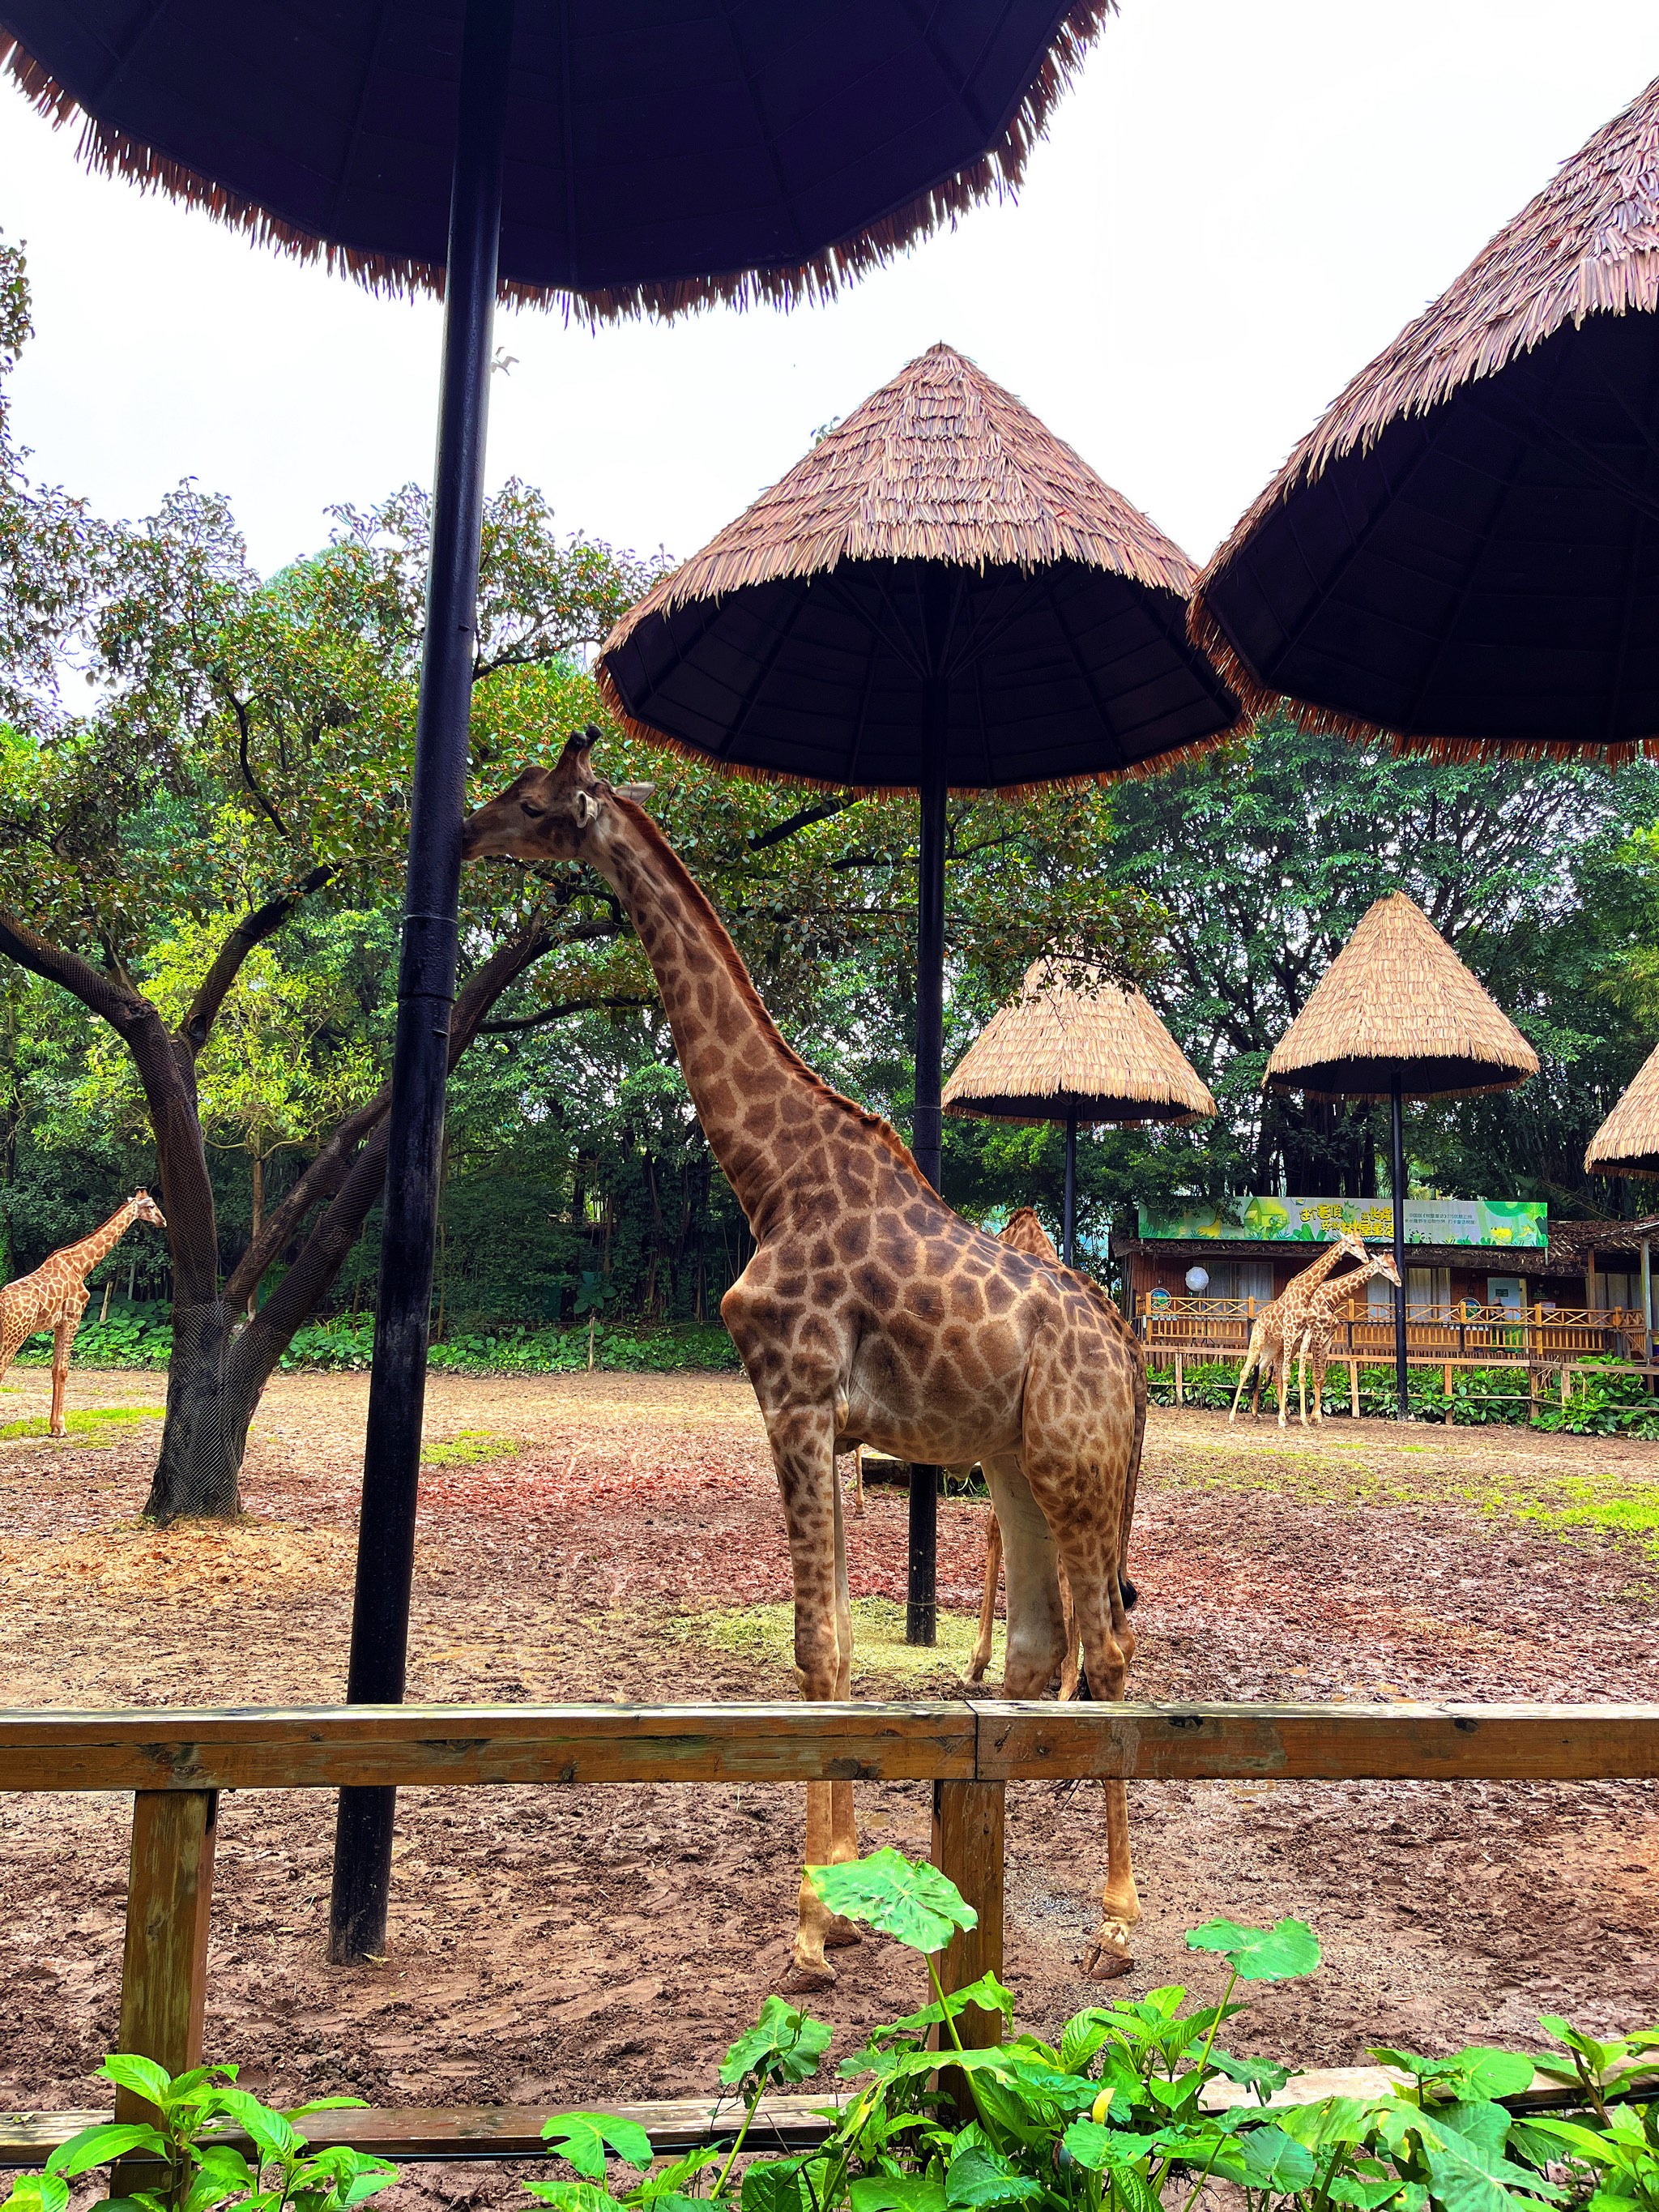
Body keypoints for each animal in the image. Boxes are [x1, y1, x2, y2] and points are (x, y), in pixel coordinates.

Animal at [1, 1194, 168, 1433]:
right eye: (152, 1206)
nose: (163, 1221)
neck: (81, 1266)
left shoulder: (58, 1325)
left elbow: (55, 1370)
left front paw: (54, 1427)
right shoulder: (73, 1319)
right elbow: (63, 1370)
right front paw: (61, 1427)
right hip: (17, 1332)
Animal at [462, 738, 1149, 1991]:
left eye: (534, 802)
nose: (463, 831)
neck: (769, 1173)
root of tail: (1124, 1348)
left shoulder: (788, 1397)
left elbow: (816, 1650)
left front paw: (810, 1926)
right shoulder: (826, 1420)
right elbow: (829, 1651)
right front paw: (850, 1897)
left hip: (1075, 1467)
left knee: (1110, 1648)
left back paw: (1118, 1927)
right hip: (1017, 1470)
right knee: (1040, 1648)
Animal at [1230, 1229, 1371, 1433]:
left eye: (1363, 1244)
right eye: (1352, 1245)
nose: (1366, 1259)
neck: (1305, 1294)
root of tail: (1257, 1319)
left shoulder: (1306, 1336)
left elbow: (1302, 1375)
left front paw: (1305, 1419)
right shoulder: (1293, 1333)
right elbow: (1288, 1375)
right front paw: (1285, 1419)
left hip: (1272, 1348)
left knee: (1261, 1371)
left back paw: (1257, 1414)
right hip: (1258, 1341)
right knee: (1246, 1371)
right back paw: (1233, 1417)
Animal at [1282, 1256, 1406, 1424]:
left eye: (1395, 1265)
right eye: (1385, 1266)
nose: (1399, 1282)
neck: (1331, 1299)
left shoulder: (1328, 1340)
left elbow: (1322, 1378)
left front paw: (1315, 1415)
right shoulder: (1318, 1337)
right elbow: (1316, 1376)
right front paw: (1317, 1416)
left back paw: (1286, 1414)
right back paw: (1284, 1414)